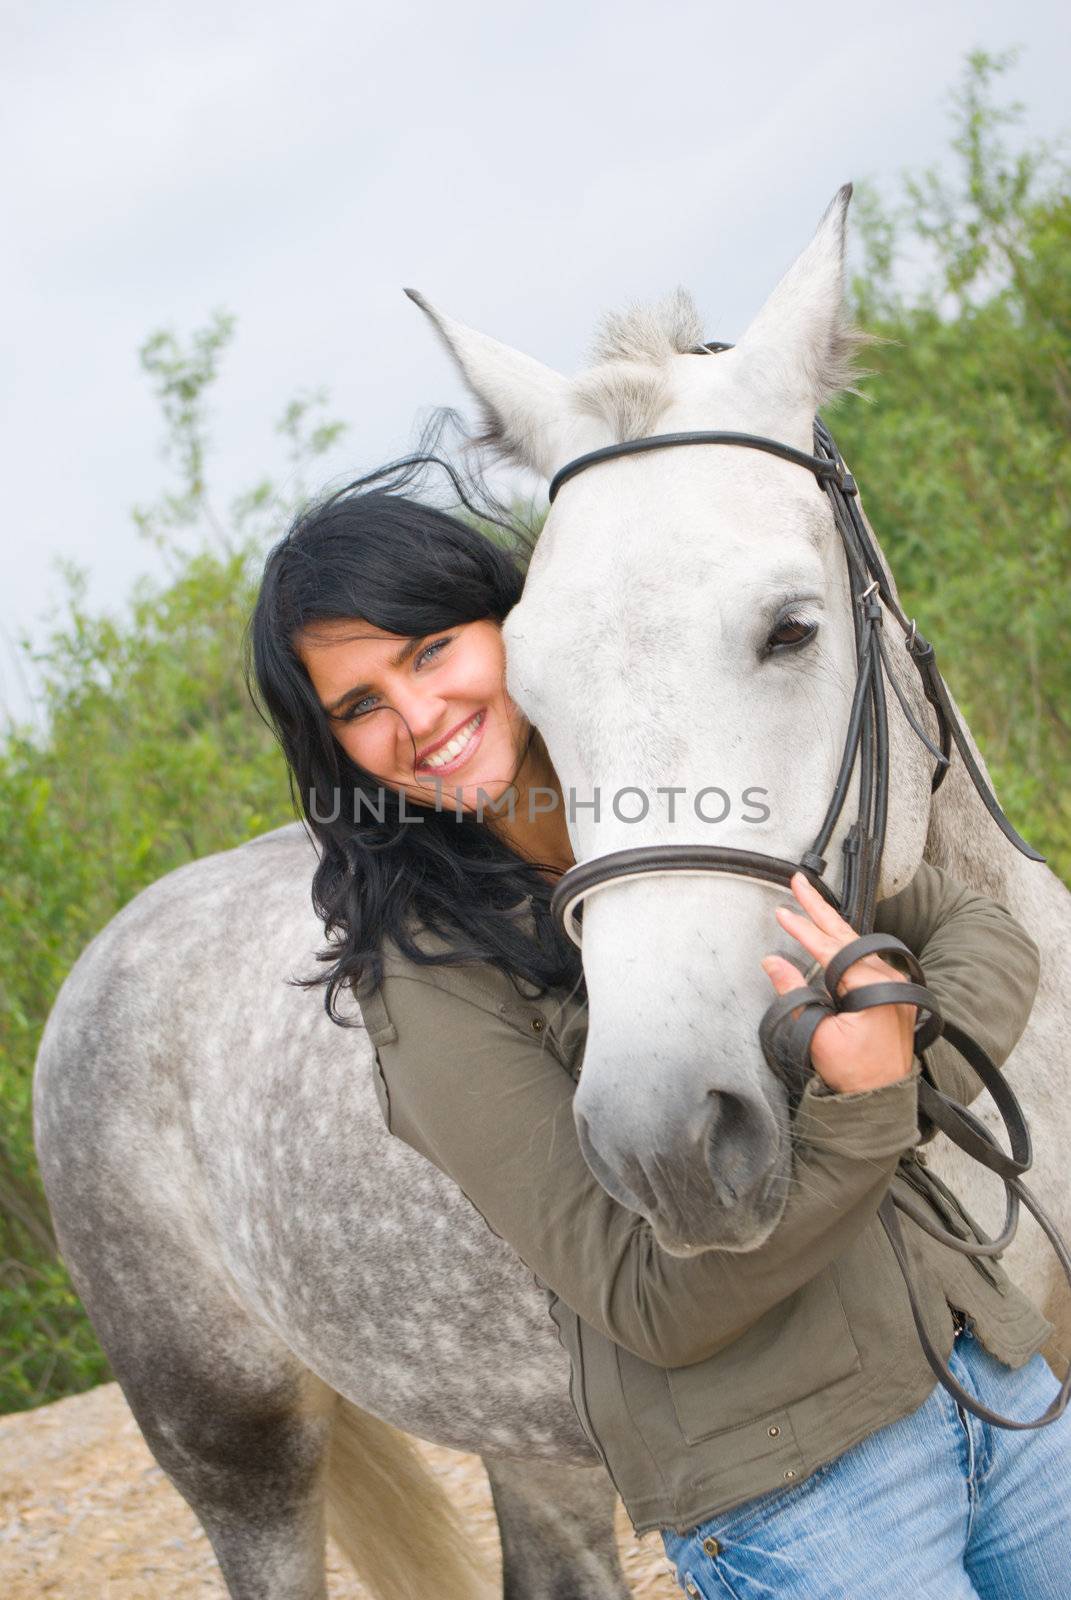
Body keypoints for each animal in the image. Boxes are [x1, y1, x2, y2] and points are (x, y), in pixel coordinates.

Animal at [33, 193, 1069, 1600]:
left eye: (792, 629)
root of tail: (111, 951)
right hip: (236, 1445)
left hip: (524, 1438)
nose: (661, 1142)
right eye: (527, 669)